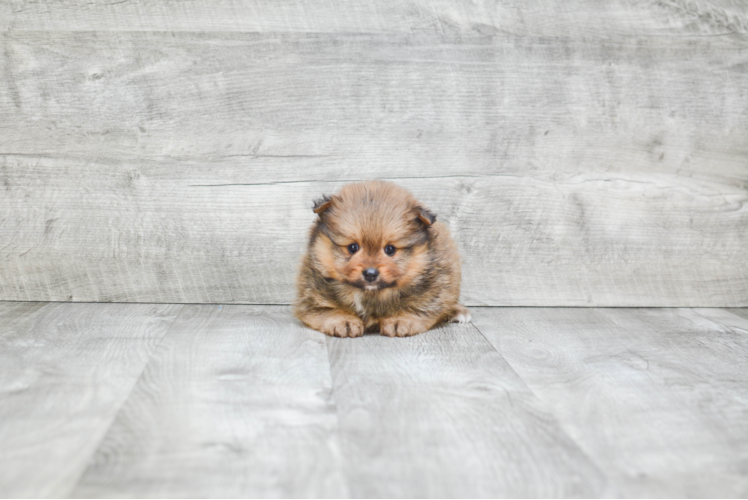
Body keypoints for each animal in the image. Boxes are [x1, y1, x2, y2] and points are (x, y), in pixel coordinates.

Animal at [292, 179, 468, 336]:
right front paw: (344, 320)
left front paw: (400, 319)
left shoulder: (435, 289)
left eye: (390, 249)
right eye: (352, 247)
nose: (370, 274)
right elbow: (327, 308)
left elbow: (419, 307)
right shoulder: (311, 295)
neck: (370, 295)